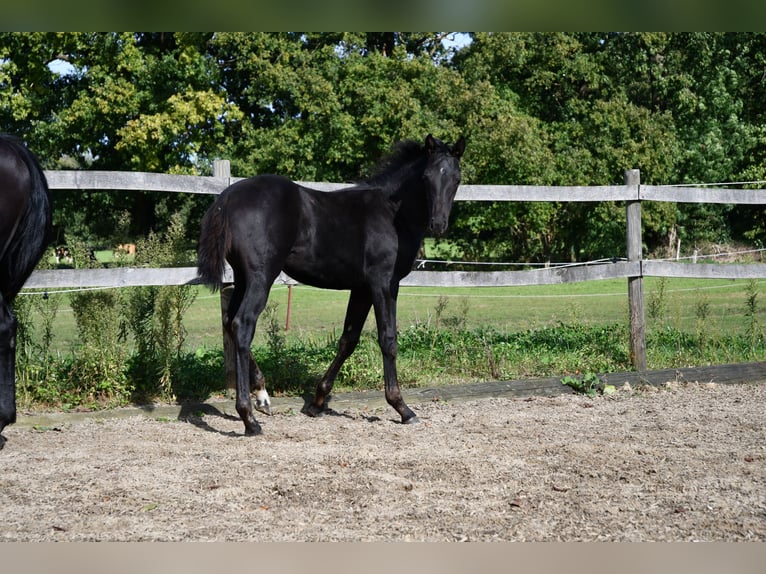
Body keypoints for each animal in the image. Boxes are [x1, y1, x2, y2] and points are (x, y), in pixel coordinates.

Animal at [198, 135, 464, 436]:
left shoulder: (361, 288)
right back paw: (249, 418)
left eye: (456, 178)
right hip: (260, 277)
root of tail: (228, 197)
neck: (391, 213)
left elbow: (348, 340)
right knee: (243, 325)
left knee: (229, 322)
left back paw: (262, 396)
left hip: (243, 277)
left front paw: (318, 401)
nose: (438, 224)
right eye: (427, 177)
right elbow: (388, 339)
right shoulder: (384, 283)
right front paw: (402, 408)